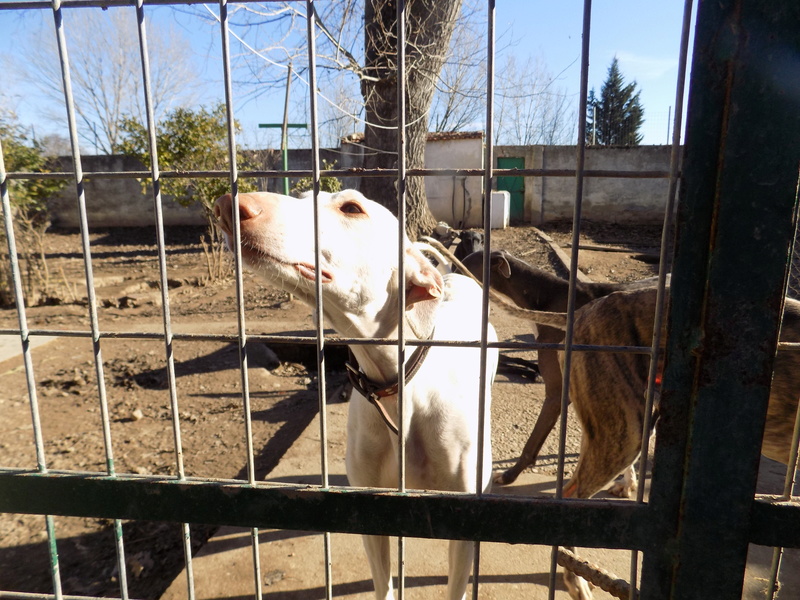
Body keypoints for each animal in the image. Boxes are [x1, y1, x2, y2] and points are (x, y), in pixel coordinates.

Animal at [216, 190, 496, 600]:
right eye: (302, 195)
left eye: (352, 208)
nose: (227, 206)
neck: (398, 389)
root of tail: (454, 275)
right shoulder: (370, 513)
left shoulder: (465, 527)